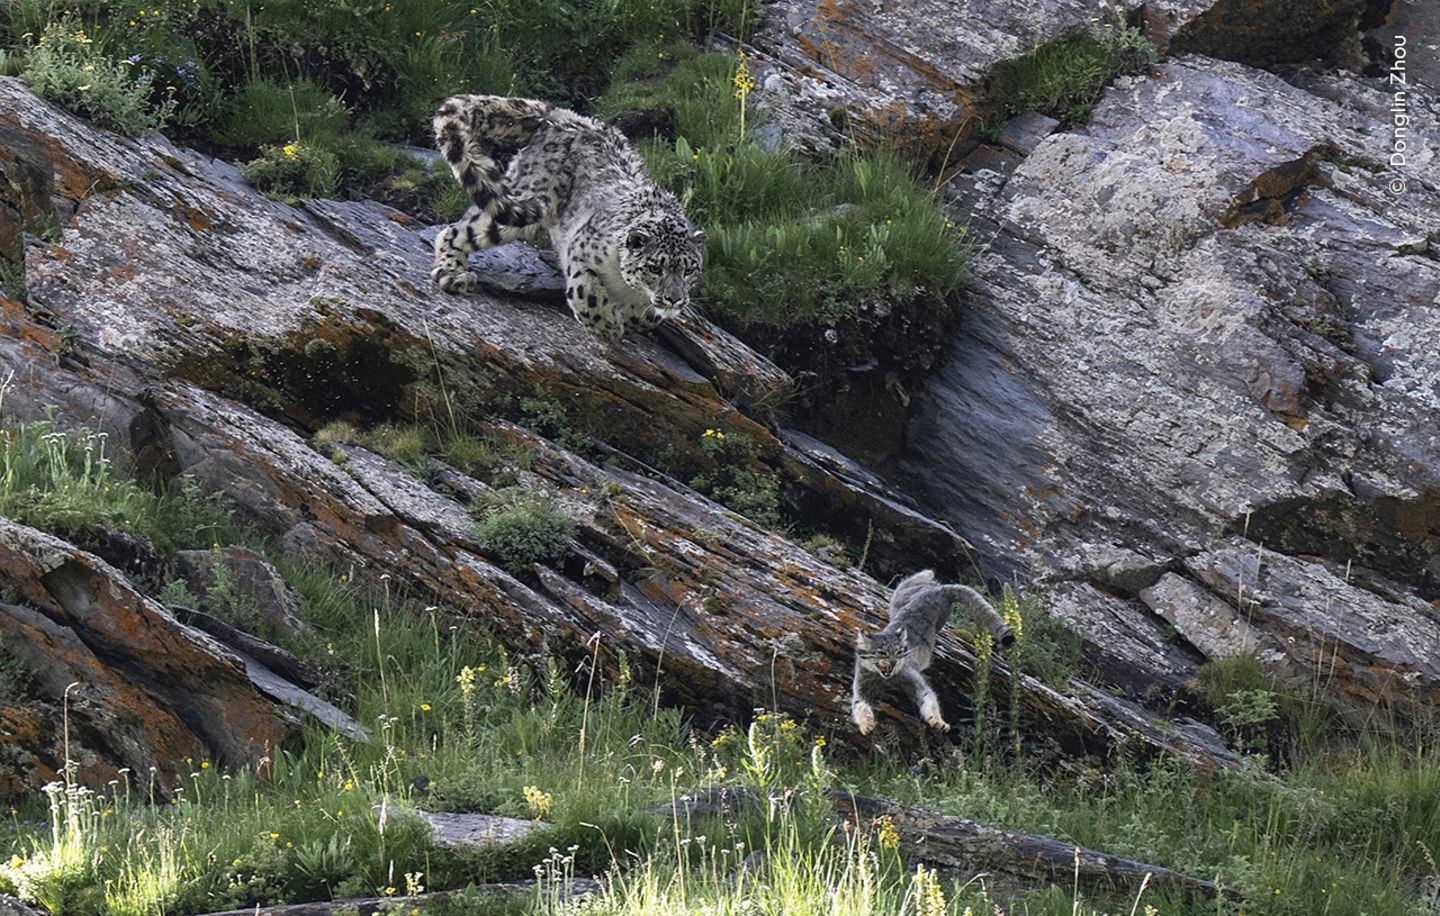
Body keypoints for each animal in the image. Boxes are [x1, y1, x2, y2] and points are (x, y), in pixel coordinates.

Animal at [429, 92, 705, 339]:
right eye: (655, 268)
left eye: (689, 269)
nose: (673, 298)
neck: (628, 289)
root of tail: (565, 115)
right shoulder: (582, 251)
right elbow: (587, 292)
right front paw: (607, 327)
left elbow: (647, 317)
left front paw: (633, 318)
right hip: (526, 203)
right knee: (458, 230)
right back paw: (453, 274)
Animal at [846, 573, 1019, 737]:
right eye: (882, 652)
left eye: (900, 652)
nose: (894, 662)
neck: (885, 679)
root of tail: (938, 590)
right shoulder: (860, 690)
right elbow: (861, 708)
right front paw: (867, 725)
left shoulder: (915, 681)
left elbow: (929, 700)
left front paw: (937, 722)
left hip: (905, 594)